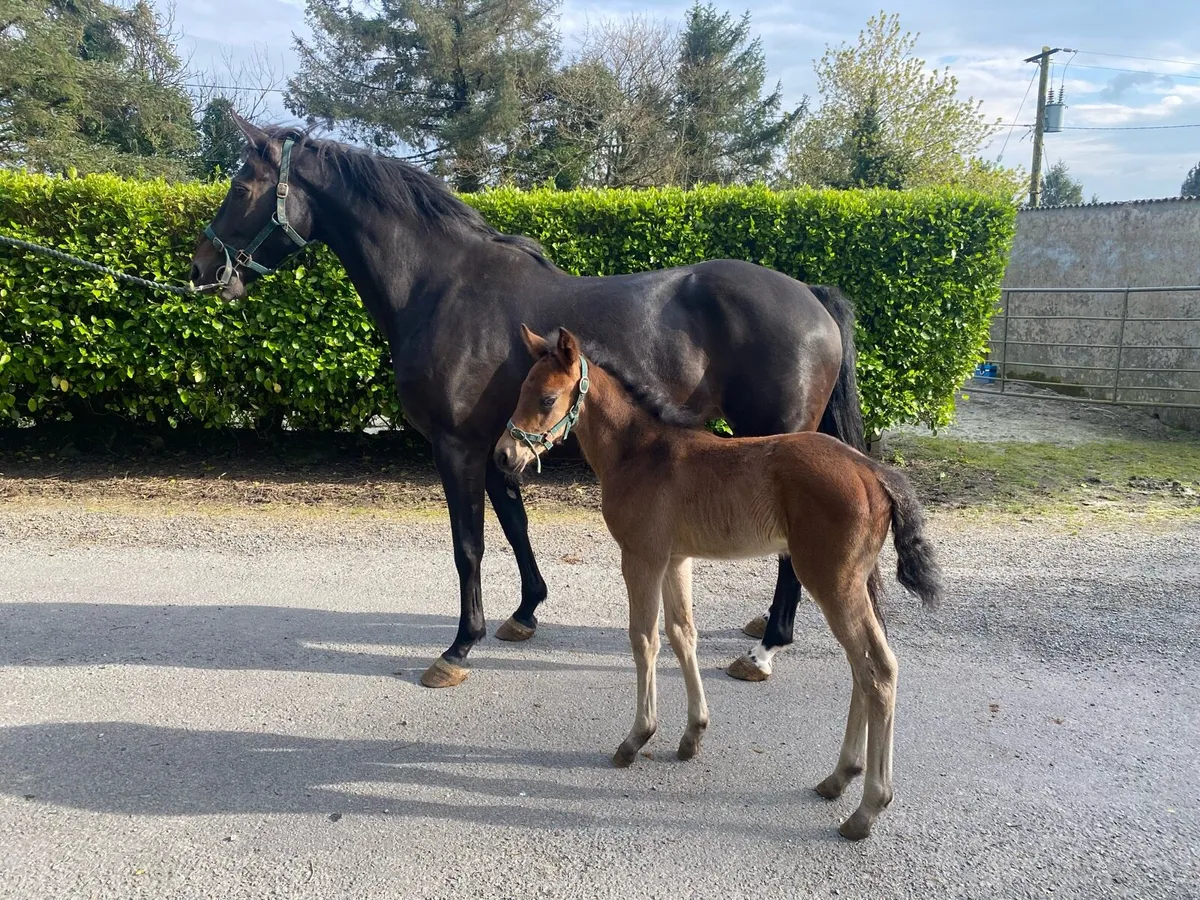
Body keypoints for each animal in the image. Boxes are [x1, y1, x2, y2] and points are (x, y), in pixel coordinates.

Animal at [189, 115, 868, 690]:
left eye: (243, 185)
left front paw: (459, 647)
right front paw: (525, 612)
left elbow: (469, 545)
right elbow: (514, 526)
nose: (200, 268)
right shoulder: (498, 444)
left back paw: (767, 646)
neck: (442, 287)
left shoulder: (456, 446)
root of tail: (810, 294)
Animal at [495, 326, 942, 840]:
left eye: (548, 398)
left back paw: (867, 807)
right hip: (853, 582)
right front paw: (692, 735)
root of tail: (874, 471)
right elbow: (682, 634)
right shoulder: (676, 558)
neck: (640, 452)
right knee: (864, 667)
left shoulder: (642, 556)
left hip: (832, 581)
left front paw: (636, 738)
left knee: (877, 670)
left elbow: (644, 639)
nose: (503, 454)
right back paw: (838, 778)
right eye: (520, 390)